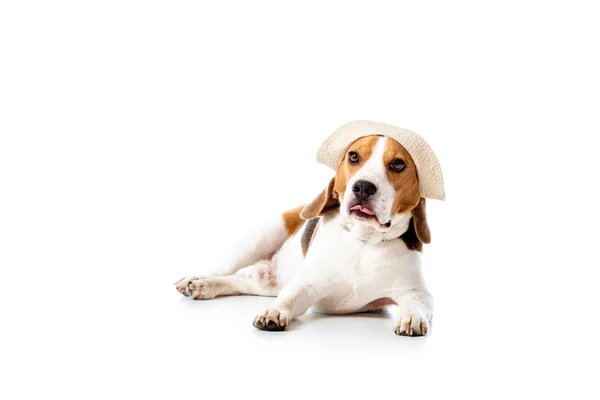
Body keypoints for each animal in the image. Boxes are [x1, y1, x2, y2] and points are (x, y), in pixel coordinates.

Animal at [176, 134, 438, 334]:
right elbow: (290, 297)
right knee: (223, 272)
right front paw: (274, 313)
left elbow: (416, 303)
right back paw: (199, 281)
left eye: (398, 164)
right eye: (353, 156)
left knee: (242, 282)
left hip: (268, 284)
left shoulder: (417, 292)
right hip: (259, 239)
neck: (365, 241)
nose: (363, 187)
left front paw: (412, 317)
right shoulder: (307, 284)